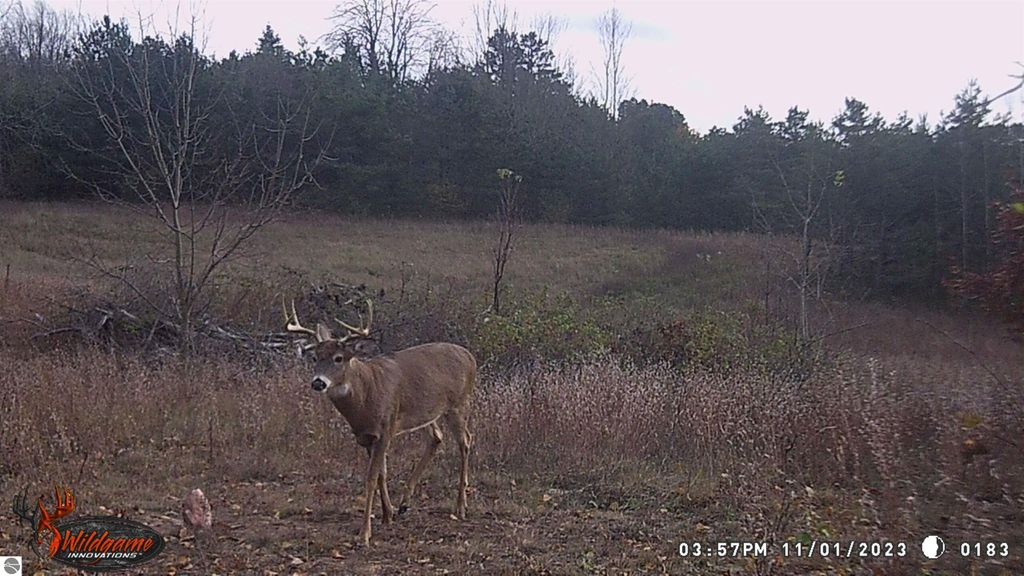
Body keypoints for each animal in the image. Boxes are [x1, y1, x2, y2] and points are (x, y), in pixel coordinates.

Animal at [284, 299, 476, 546]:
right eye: (315, 358)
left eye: (339, 358)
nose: (318, 382)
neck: (366, 395)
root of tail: (470, 356)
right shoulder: (366, 436)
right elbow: (382, 474)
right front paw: (388, 514)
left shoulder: (386, 428)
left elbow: (371, 477)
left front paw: (365, 533)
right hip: (425, 413)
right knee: (437, 437)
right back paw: (404, 503)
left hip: (459, 404)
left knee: (465, 442)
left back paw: (460, 507)